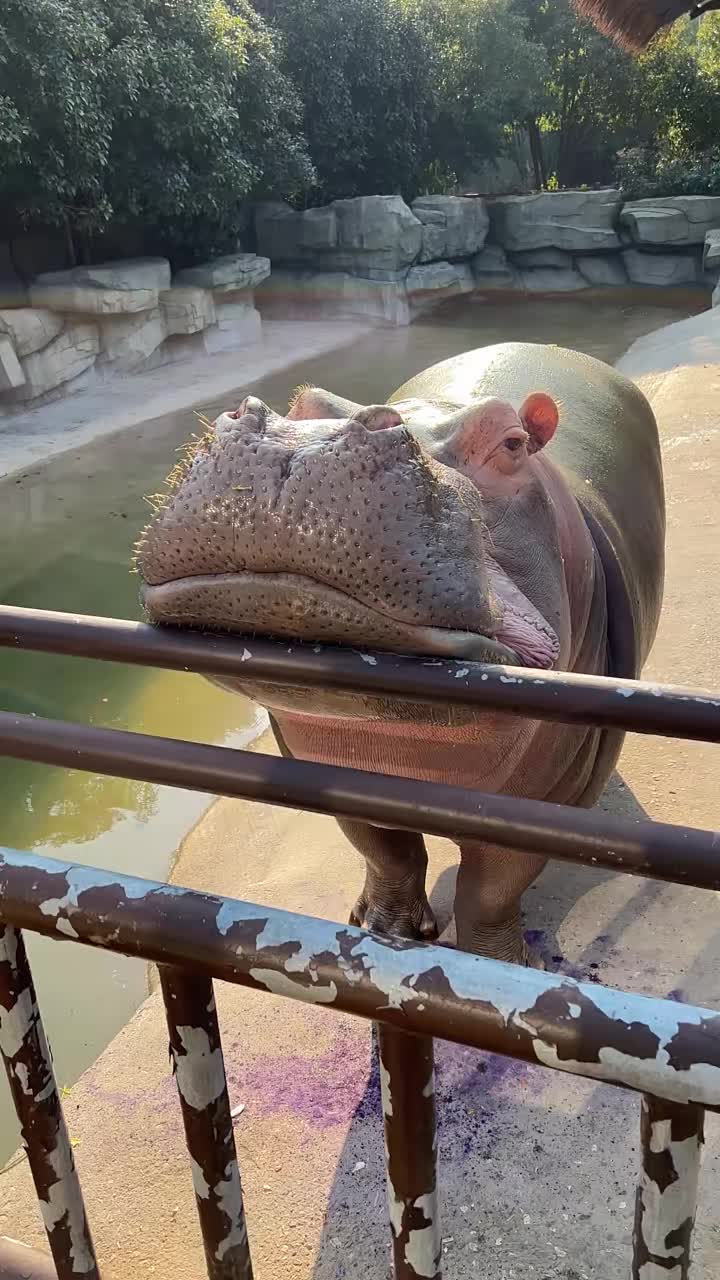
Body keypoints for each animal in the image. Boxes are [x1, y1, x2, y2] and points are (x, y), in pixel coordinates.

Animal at [137, 342, 664, 964]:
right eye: (306, 403)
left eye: (512, 442)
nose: (299, 439)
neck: (404, 752)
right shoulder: (330, 773)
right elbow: (385, 851)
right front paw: (380, 929)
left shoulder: (544, 805)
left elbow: (491, 889)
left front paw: (497, 963)